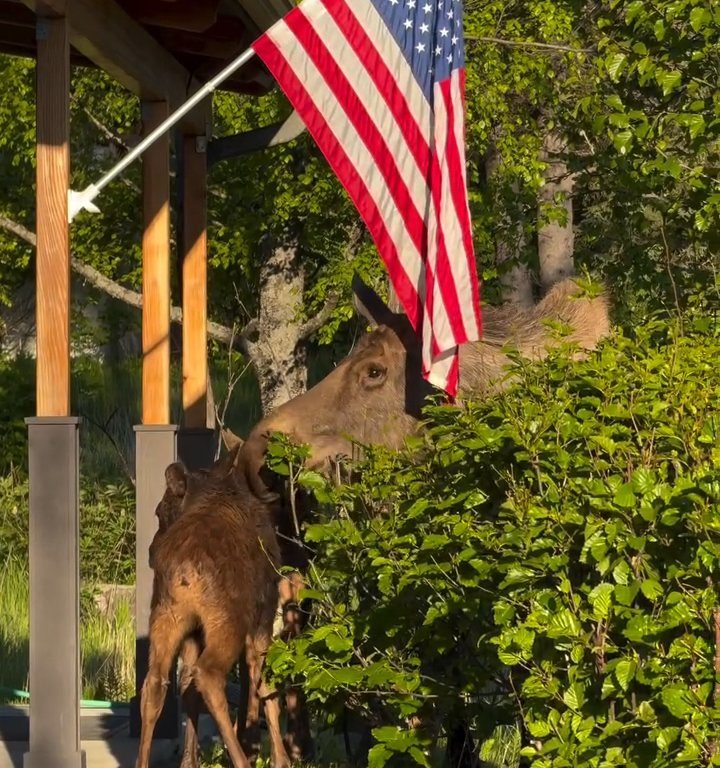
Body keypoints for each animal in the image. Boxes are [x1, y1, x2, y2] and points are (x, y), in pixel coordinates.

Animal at [138, 448, 290, 768]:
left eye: (159, 511)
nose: (150, 551)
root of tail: (184, 569)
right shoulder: (263, 617)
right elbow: (266, 685)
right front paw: (281, 759)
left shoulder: (194, 634)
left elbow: (187, 687)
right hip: (227, 621)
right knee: (208, 675)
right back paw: (242, 759)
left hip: (166, 616)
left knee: (155, 683)